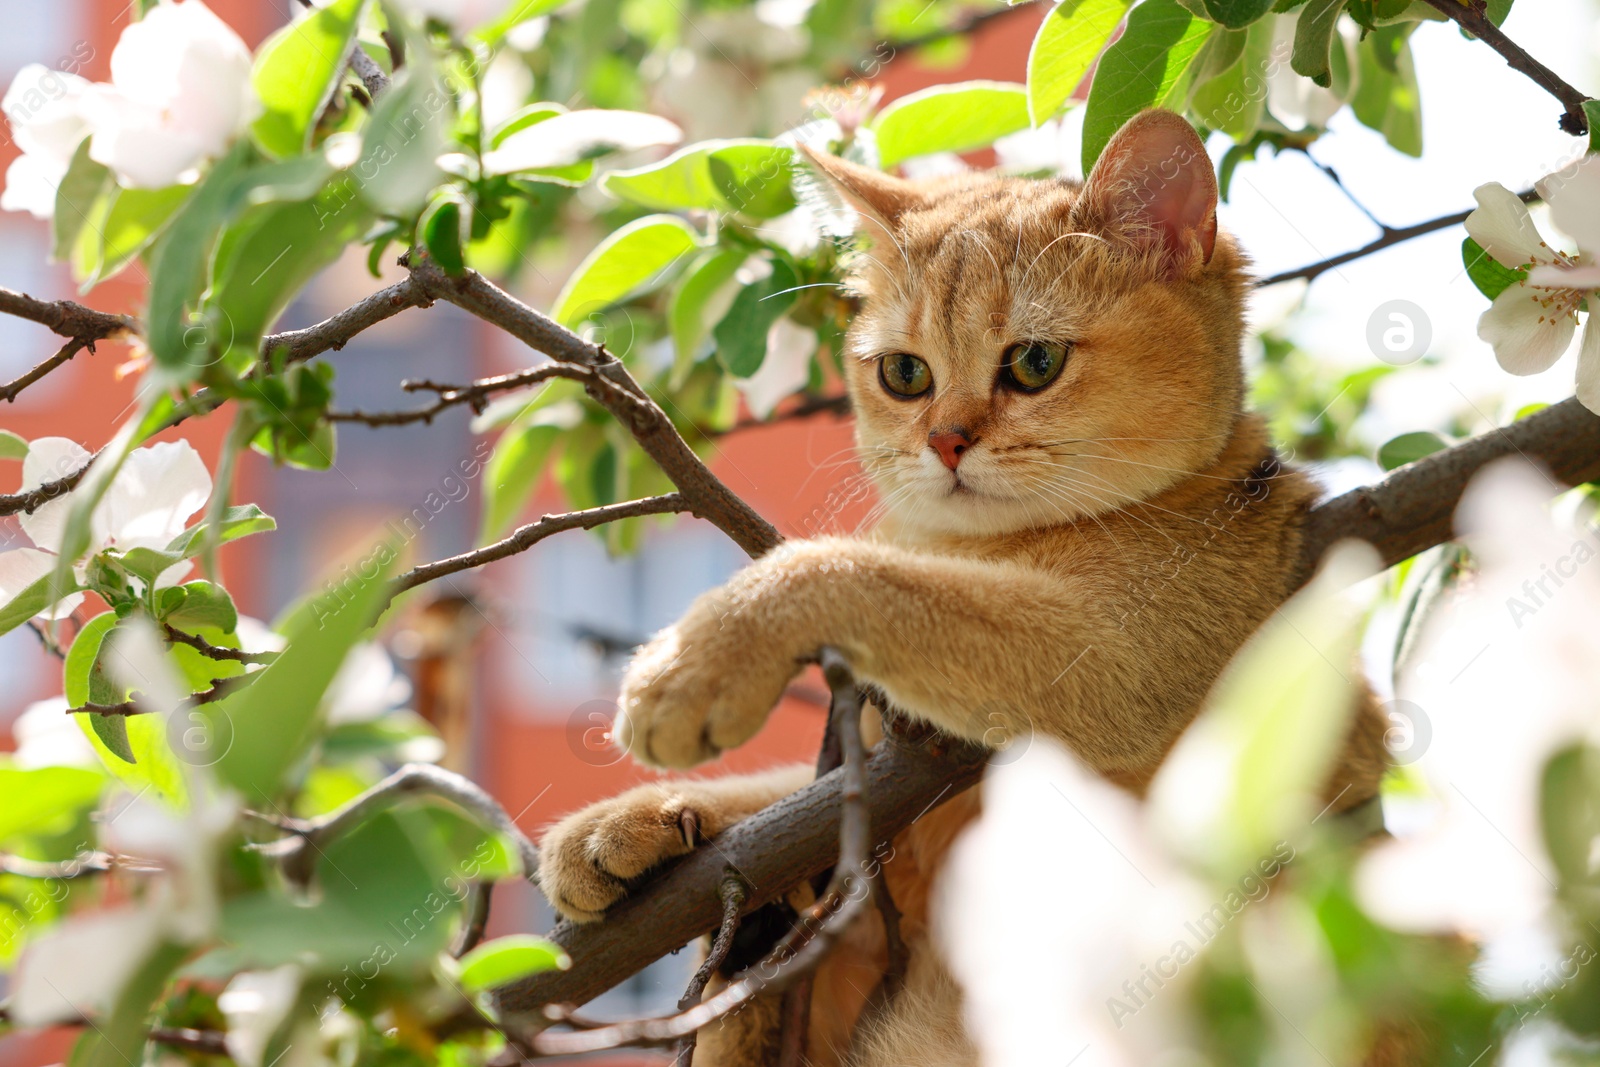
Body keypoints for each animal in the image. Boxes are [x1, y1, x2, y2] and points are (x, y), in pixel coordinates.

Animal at [537, 112, 1388, 1062]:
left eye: (1035, 362)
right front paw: (632, 823)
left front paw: (692, 665)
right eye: (904, 373)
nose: (944, 440)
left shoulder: (1117, 654)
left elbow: (850, 571)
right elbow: (789, 795)